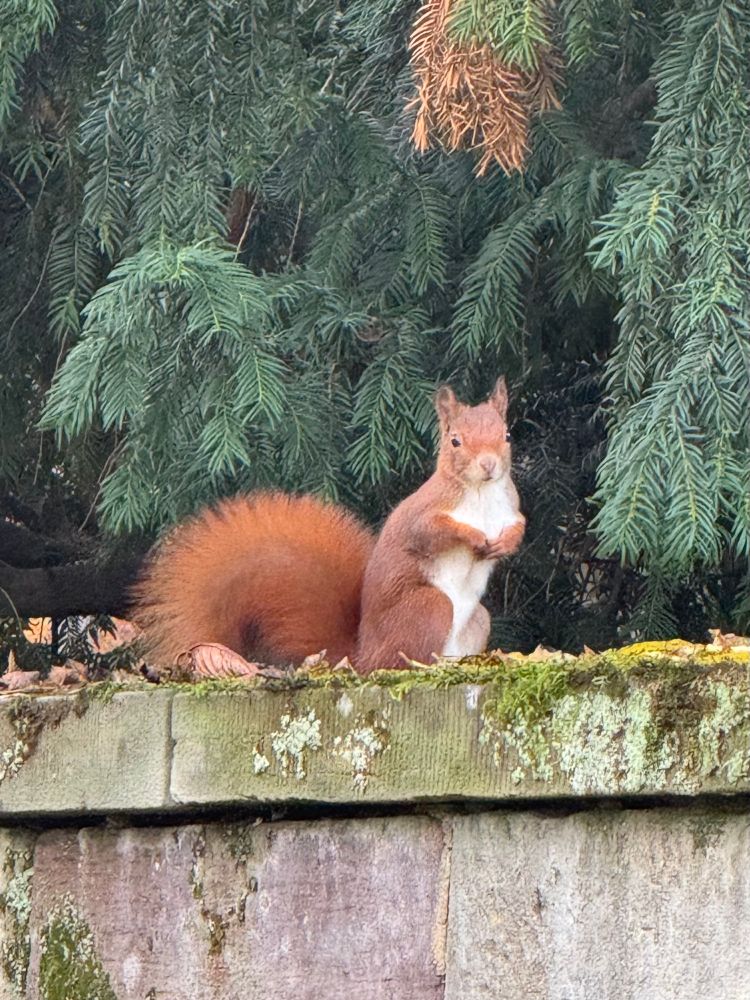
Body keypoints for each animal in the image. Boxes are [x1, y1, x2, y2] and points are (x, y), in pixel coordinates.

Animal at [132, 377, 524, 673]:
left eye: (506, 435)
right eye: (455, 441)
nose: (489, 465)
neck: (481, 494)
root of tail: (363, 657)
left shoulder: (511, 508)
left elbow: (519, 526)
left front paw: (504, 543)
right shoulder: (424, 515)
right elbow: (434, 532)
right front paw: (474, 536)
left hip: (478, 621)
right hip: (430, 608)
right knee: (404, 659)